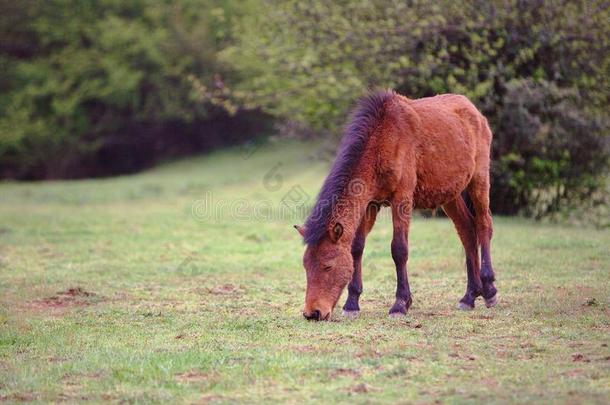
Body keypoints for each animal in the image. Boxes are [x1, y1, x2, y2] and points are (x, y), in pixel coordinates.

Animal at [292, 90, 496, 320]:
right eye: (306, 266)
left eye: (328, 266)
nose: (313, 313)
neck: (382, 139)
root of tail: (474, 111)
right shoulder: (370, 203)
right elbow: (357, 248)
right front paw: (352, 303)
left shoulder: (402, 198)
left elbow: (399, 249)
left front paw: (400, 304)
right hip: (450, 194)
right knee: (467, 231)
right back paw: (469, 296)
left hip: (479, 180)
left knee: (483, 225)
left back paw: (489, 289)